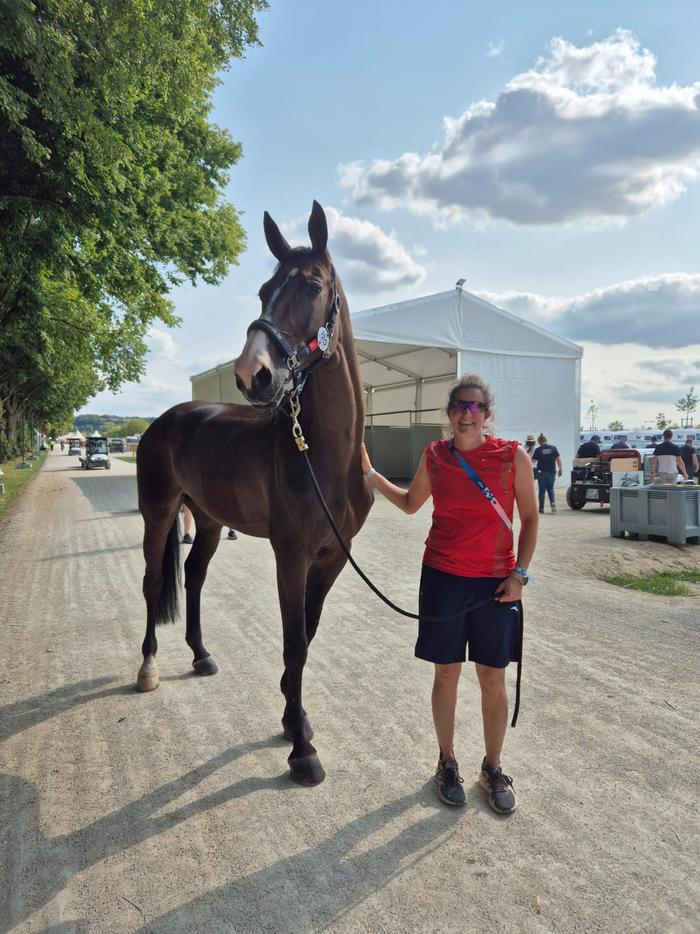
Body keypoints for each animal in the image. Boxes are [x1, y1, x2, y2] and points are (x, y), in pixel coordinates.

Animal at [138, 201, 378, 788]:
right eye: (264, 290)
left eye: (312, 285)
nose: (253, 374)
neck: (323, 456)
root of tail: (165, 420)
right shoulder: (289, 556)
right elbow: (293, 641)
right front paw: (301, 751)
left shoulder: (332, 558)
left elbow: (307, 637)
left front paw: (296, 719)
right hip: (159, 514)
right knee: (154, 582)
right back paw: (147, 666)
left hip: (205, 521)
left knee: (194, 576)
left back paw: (201, 655)